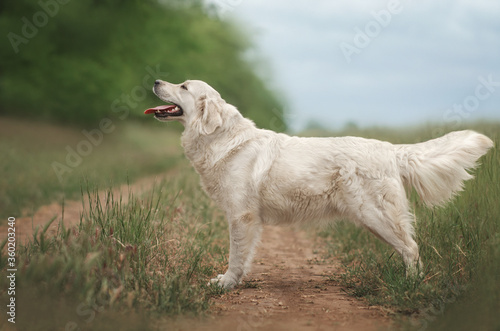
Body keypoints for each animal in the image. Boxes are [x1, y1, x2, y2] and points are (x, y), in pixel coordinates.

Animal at [145, 79, 492, 290]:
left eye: (183, 86)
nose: (157, 81)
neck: (221, 139)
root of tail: (391, 149)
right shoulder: (246, 218)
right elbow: (243, 255)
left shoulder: (242, 216)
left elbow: (236, 255)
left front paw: (227, 283)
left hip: (377, 216)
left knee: (412, 249)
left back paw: (411, 286)